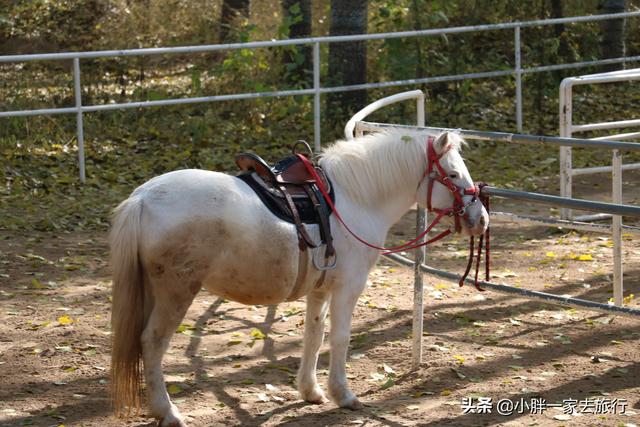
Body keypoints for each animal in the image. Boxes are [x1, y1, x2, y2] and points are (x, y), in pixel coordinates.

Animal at [111, 131, 490, 427]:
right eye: (453, 174)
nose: (481, 219)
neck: (355, 199)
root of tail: (142, 199)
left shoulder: (319, 291)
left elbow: (313, 335)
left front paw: (311, 390)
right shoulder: (348, 288)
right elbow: (340, 338)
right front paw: (344, 395)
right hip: (176, 293)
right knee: (152, 343)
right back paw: (167, 411)